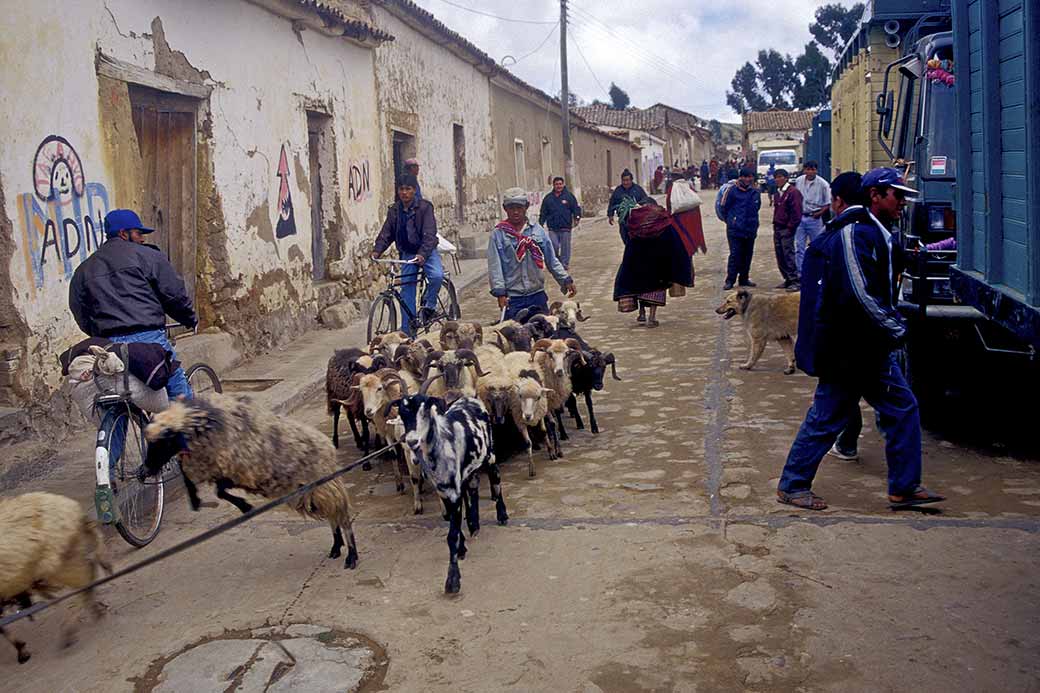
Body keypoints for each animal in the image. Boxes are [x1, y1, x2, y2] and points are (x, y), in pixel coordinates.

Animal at [0, 443, 395, 624]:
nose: (145, 470)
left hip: (328, 496)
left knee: (342, 521)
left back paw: (348, 554)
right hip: (323, 497)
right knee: (336, 522)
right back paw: (337, 549)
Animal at [391, 385, 507, 591]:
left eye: (425, 411)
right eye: (402, 414)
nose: (412, 441)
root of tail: (469, 398)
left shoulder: (453, 491)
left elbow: (451, 535)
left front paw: (453, 580)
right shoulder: (445, 490)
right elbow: (452, 521)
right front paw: (462, 548)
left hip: (490, 454)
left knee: (496, 479)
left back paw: (502, 515)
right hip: (469, 470)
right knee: (473, 487)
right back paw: (474, 524)